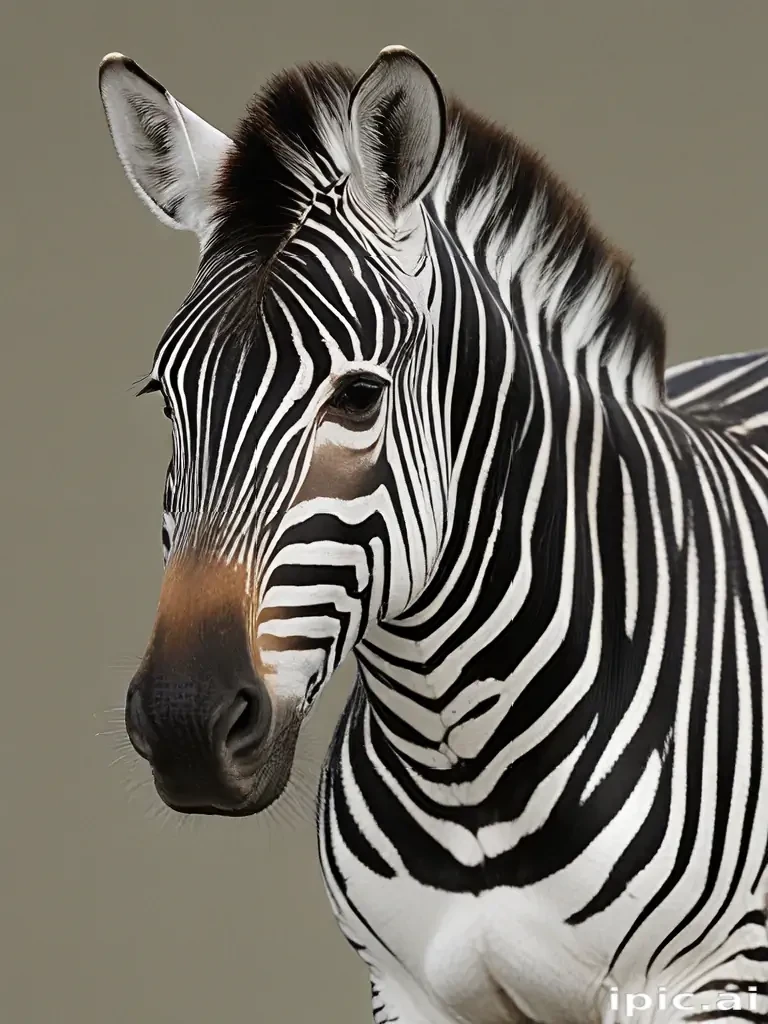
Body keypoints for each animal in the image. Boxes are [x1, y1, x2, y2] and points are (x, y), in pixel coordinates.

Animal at [99, 44, 768, 1024]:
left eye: (358, 396)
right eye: (165, 397)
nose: (187, 721)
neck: (467, 762)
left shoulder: (716, 981)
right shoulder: (408, 992)